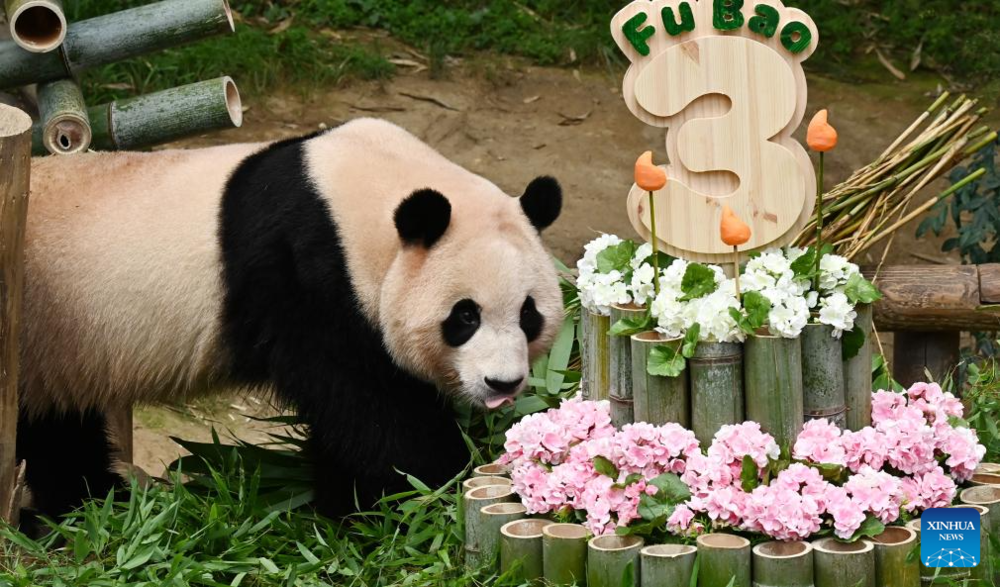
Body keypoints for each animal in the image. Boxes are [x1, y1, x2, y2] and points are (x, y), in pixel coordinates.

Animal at [18, 118, 564, 520]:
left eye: (528, 315)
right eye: (465, 316)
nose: (503, 384)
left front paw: (345, 506)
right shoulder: (304, 272)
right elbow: (370, 410)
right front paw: (429, 489)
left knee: (57, 427)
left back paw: (89, 504)